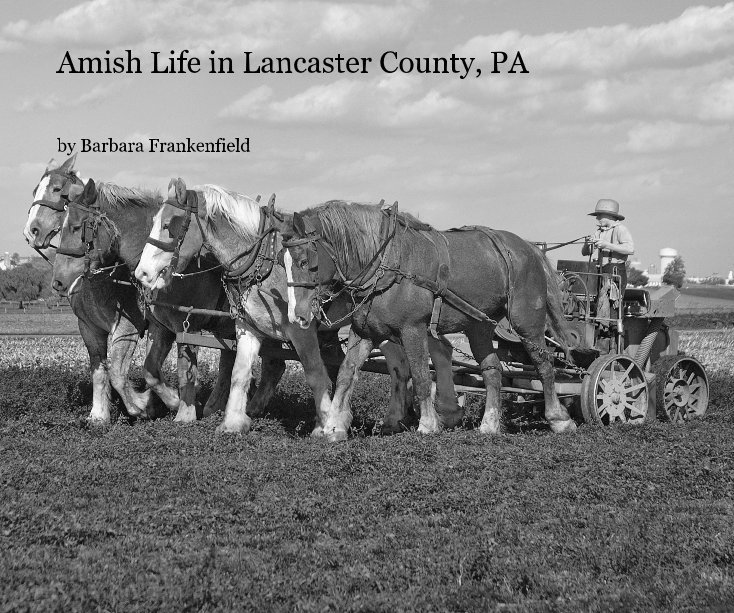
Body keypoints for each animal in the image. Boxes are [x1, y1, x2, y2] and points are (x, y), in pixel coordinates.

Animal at [284, 201, 576, 436]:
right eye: (283, 260)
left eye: (304, 261)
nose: (297, 315)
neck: (386, 266)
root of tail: (528, 247)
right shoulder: (364, 331)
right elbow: (346, 373)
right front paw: (333, 426)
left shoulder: (412, 329)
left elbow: (421, 375)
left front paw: (427, 424)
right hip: (479, 326)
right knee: (492, 370)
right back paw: (489, 424)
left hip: (526, 322)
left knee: (544, 365)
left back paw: (558, 419)